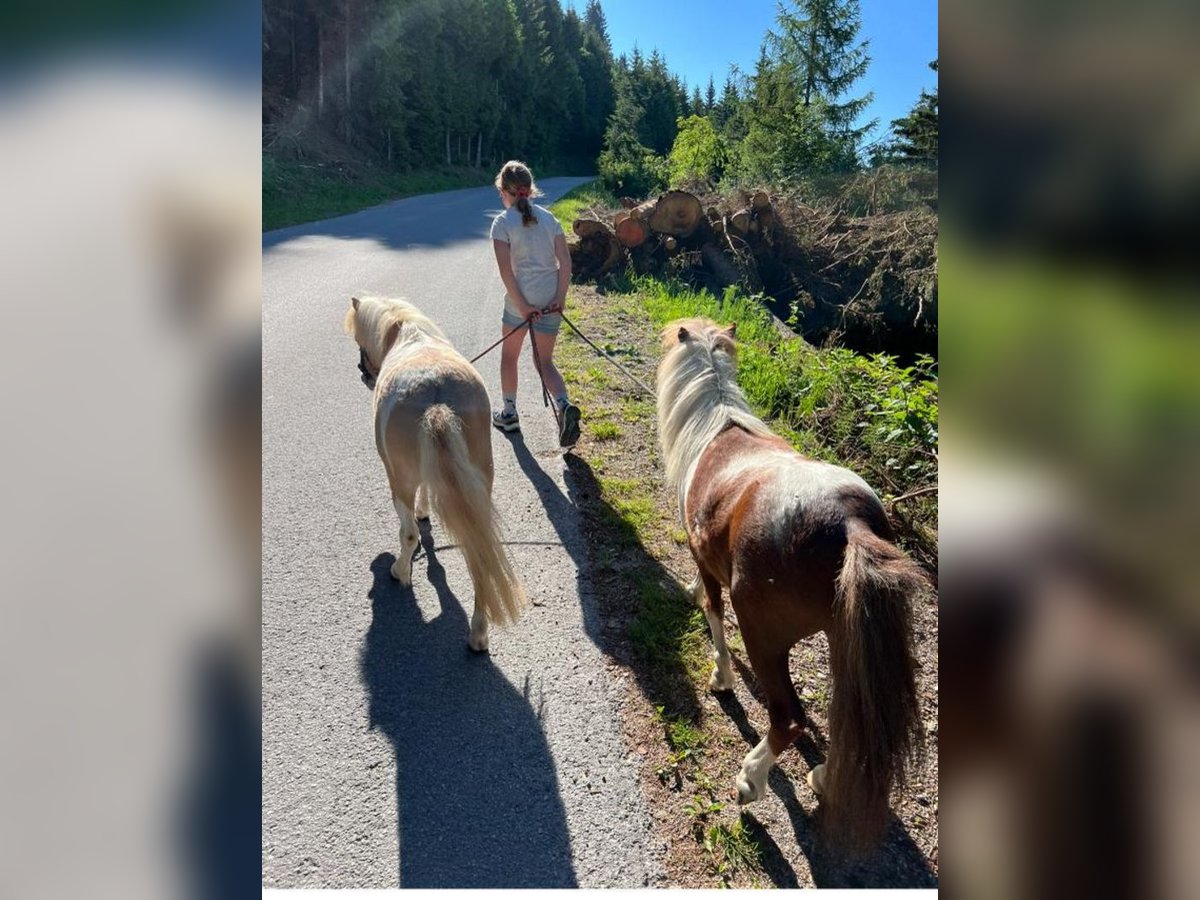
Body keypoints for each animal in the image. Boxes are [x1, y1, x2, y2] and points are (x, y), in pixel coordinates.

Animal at [340, 300, 523, 652]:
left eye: (360, 343)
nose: (360, 371)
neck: (408, 334)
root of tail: (436, 396)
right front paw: (425, 512)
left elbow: (411, 528)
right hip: (479, 487)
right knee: (478, 551)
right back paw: (478, 635)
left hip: (399, 481)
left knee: (409, 534)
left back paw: (400, 571)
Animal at [662, 319, 921, 854]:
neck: (719, 426)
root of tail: (849, 523)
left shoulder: (707, 562)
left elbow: (714, 614)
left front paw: (721, 677)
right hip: (846, 642)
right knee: (849, 722)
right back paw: (822, 777)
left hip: (765, 636)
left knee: (789, 719)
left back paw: (751, 780)